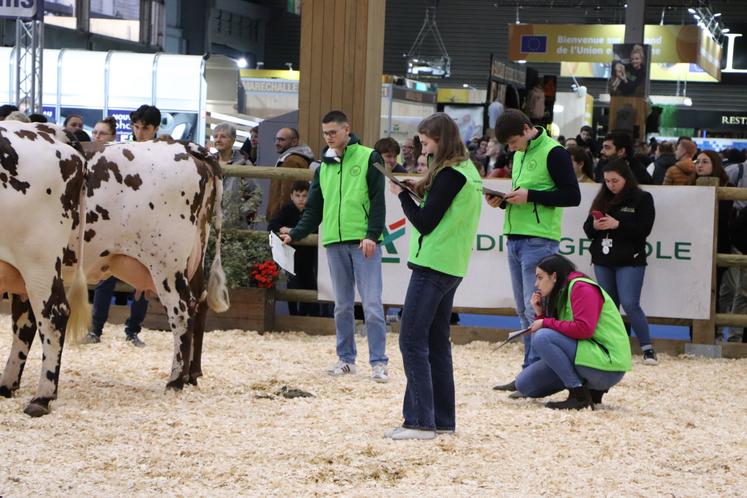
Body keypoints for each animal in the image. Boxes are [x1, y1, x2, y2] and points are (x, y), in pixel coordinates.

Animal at [0, 120, 90, 416]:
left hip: (39, 259)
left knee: (53, 315)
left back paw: (42, 397)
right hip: (21, 271)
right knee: (25, 322)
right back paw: (6, 385)